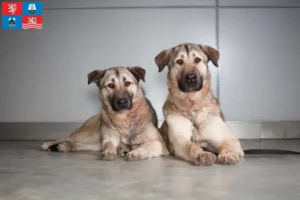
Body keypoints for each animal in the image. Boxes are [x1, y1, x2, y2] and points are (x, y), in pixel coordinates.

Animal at [40, 66, 169, 160]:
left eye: (127, 83)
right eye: (111, 85)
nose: (122, 102)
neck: (124, 118)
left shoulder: (159, 143)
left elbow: (146, 145)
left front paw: (137, 151)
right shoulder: (108, 138)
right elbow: (108, 144)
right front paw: (109, 151)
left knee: (82, 145)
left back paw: (65, 146)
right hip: (88, 134)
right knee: (70, 138)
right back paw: (50, 144)